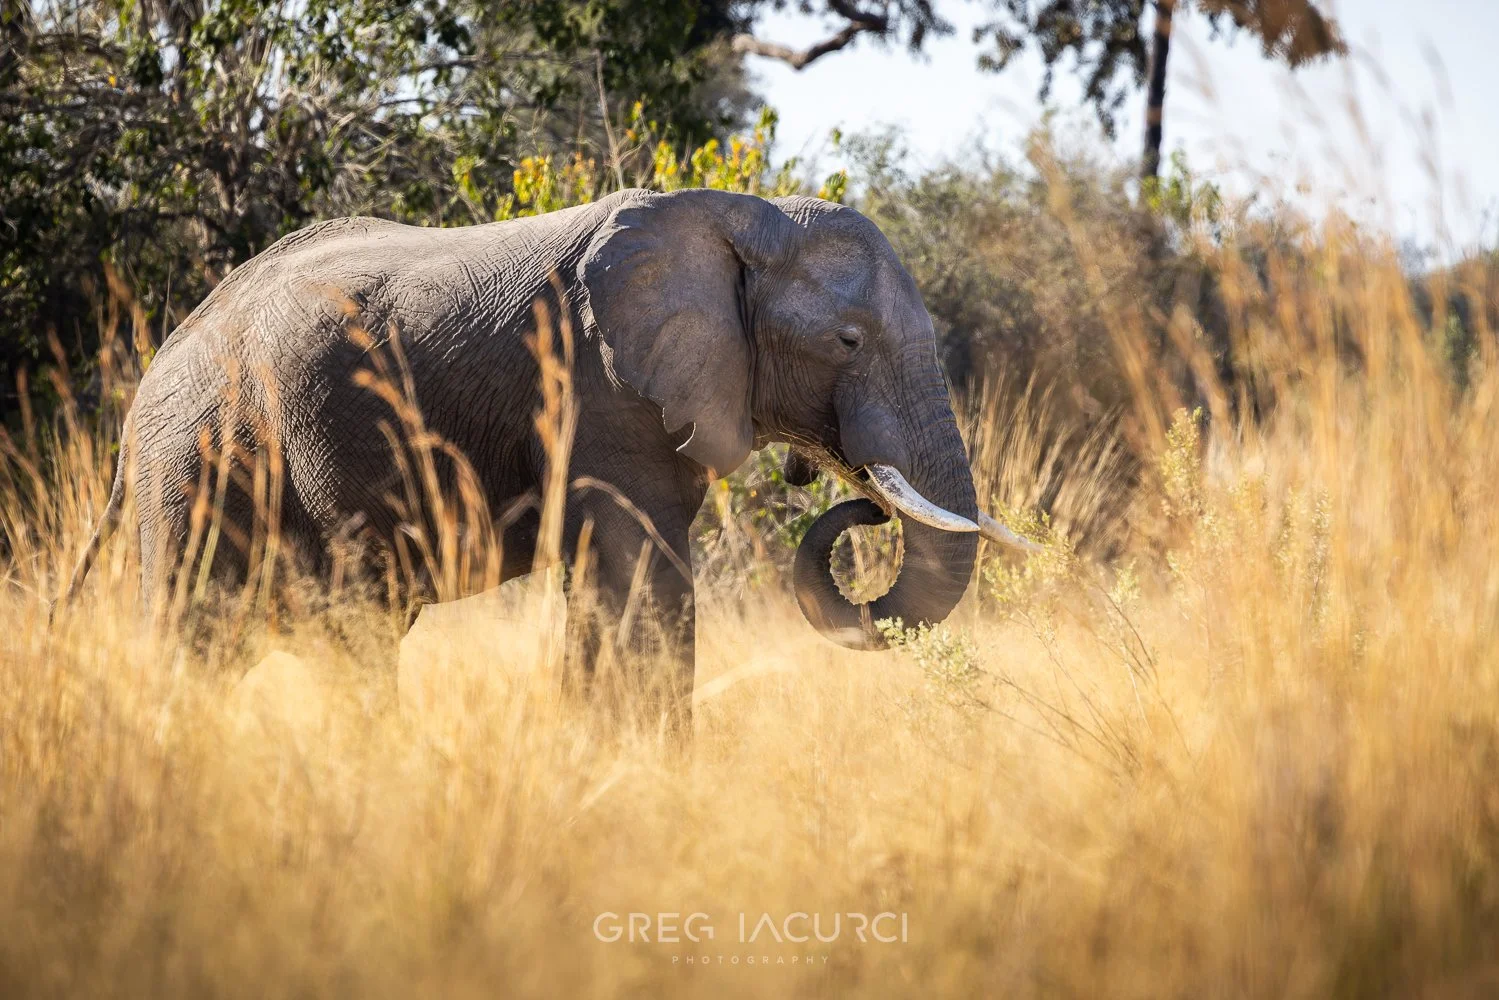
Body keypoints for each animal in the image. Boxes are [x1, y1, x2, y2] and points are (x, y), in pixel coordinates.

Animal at [63, 187, 1032, 729]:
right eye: (847, 341)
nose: (862, 497)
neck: (737, 217)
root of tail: (149, 380)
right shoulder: (600, 384)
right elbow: (641, 584)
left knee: (348, 638)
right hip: (199, 456)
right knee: (196, 630)